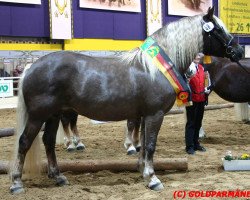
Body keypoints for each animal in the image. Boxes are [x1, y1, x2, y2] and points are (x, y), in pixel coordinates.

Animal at [10, 7, 243, 194]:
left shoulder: (144, 115)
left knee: (48, 141)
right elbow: (150, 145)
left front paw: (144, 172)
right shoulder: (155, 114)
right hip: (39, 116)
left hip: (54, 115)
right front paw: (153, 179)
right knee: (24, 142)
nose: (239, 51)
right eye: (217, 29)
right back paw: (16, 183)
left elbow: (143, 144)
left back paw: (58, 177)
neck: (156, 67)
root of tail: (32, 66)